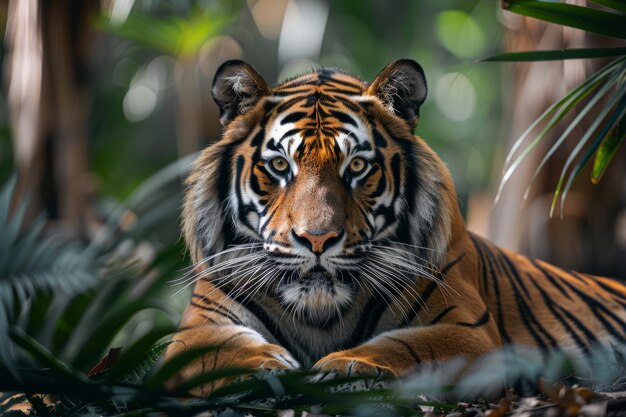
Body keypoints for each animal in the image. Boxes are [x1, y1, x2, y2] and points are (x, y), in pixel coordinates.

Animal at [165, 57, 624, 394]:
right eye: (279, 165)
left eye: (357, 166)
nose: (317, 239)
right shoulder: (197, 329)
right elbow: (216, 352)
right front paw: (268, 365)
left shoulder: (468, 331)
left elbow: (407, 347)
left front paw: (347, 365)